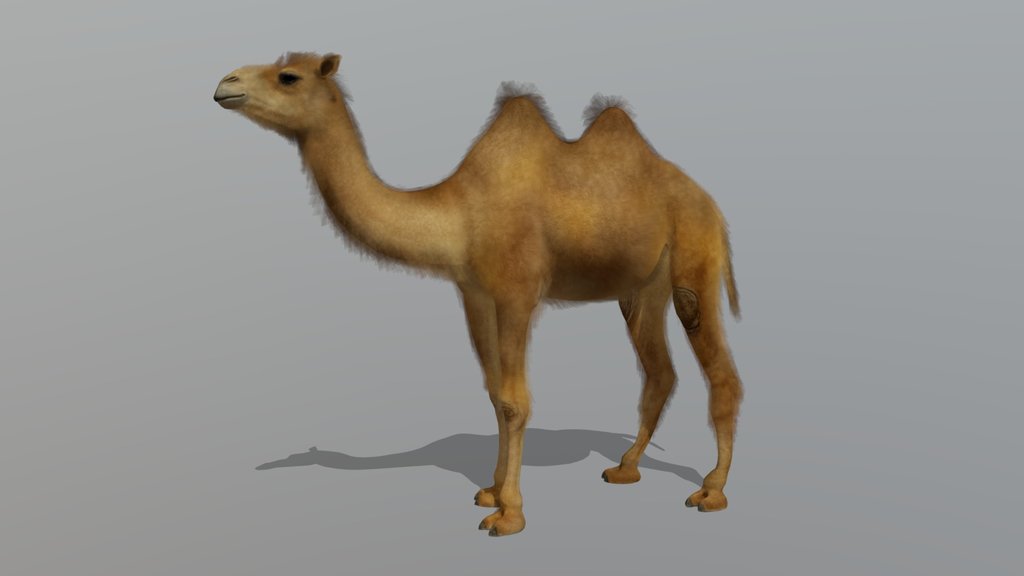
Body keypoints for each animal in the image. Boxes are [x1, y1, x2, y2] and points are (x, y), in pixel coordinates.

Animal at [213, 52, 745, 537]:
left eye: (288, 76)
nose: (225, 84)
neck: (459, 215)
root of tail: (712, 205)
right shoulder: (474, 294)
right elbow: (493, 393)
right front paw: (490, 490)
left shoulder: (516, 293)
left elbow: (515, 400)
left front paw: (509, 514)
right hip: (642, 289)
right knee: (659, 373)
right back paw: (625, 467)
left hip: (694, 259)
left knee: (721, 375)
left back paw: (712, 491)